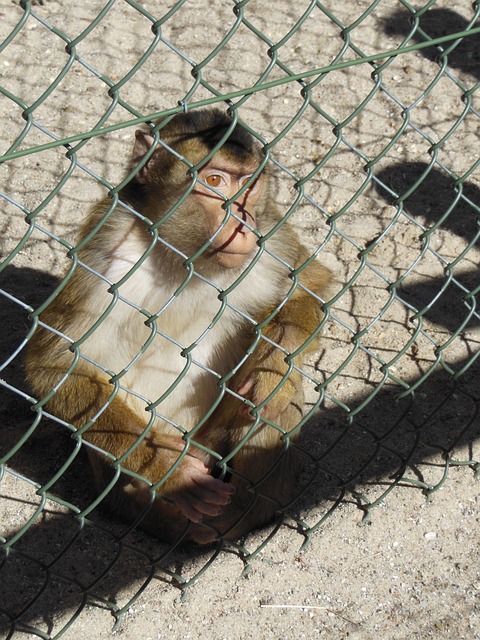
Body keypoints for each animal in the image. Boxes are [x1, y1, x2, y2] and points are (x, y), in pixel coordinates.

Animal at [24, 106, 332, 544]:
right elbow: (55, 363)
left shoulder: (270, 235)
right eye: (215, 181)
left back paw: (247, 507)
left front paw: (271, 369)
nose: (242, 221)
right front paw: (168, 469)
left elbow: (311, 288)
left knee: (272, 399)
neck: (184, 255)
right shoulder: (106, 246)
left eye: (249, 185)